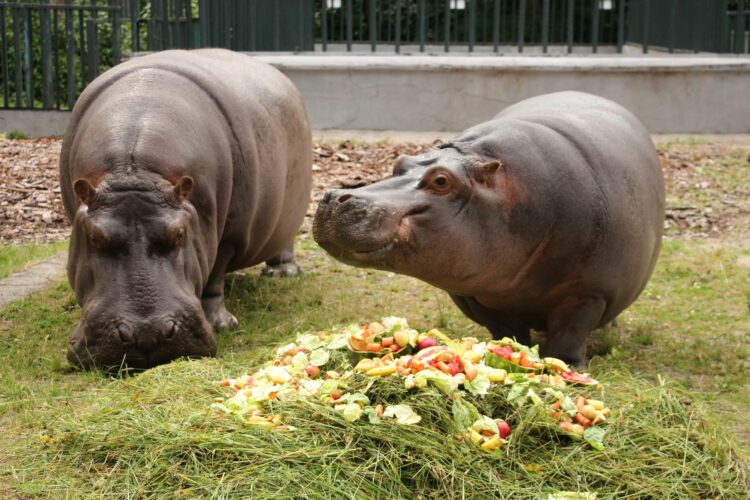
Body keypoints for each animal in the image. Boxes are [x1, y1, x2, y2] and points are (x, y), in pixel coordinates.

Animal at [59, 49, 314, 372]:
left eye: (179, 234)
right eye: (94, 236)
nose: (147, 335)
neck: (135, 171)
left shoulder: (227, 235)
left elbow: (214, 276)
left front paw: (221, 324)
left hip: (290, 212)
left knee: (284, 243)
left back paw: (282, 274)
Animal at [314, 92, 668, 366]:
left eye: (441, 180)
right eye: (399, 162)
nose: (332, 196)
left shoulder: (588, 293)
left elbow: (568, 336)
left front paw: (565, 368)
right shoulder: (473, 293)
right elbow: (506, 331)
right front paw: (506, 352)